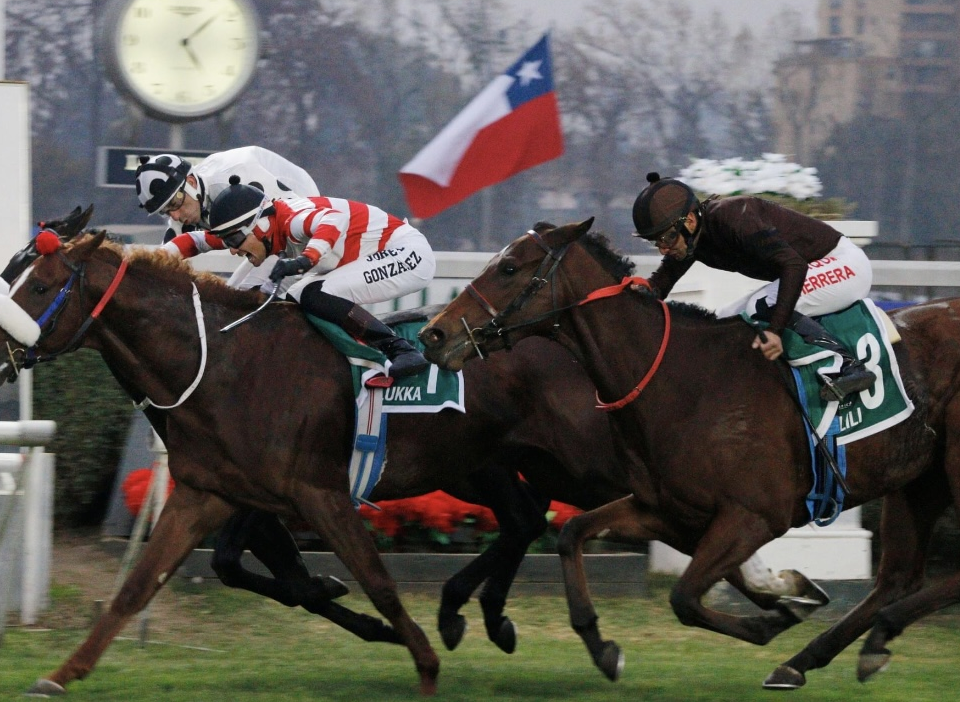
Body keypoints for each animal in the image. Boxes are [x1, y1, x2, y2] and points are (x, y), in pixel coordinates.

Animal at [418, 221, 960, 692]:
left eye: (509, 267)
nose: (433, 335)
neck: (682, 380)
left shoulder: (754, 515)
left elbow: (683, 598)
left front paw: (774, 615)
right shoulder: (662, 507)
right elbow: (572, 534)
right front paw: (601, 646)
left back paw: (871, 634)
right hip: (917, 480)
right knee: (896, 578)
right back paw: (817, 657)